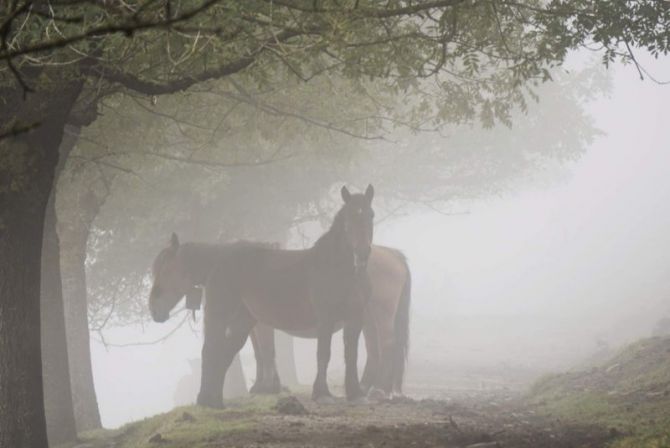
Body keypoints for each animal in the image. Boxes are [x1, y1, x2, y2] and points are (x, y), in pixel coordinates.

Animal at [149, 185, 376, 406]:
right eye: (348, 220)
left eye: (370, 215)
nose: (154, 308)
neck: (339, 268)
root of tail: (220, 260)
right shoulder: (325, 319)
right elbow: (323, 354)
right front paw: (322, 394)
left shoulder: (355, 318)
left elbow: (351, 354)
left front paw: (356, 394)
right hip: (220, 315)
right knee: (211, 350)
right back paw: (207, 400)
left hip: (243, 320)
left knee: (225, 351)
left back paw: (214, 400)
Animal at [249, 247, 412, 398]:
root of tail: (392, 253)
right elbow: (258, 353)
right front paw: (260, 386)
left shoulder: (262, 324)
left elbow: (266, 351)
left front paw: (268, 387)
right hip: (368, 319)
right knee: (374, 349)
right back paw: (364, 387)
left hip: (382, 314)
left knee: (388, 344)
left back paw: (380, 389)